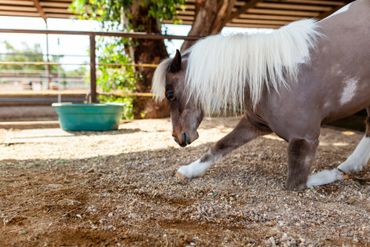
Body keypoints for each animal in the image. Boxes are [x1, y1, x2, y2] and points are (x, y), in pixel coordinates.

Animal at [151, 0, 370, 191]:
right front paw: (188, 171)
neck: (273, 78)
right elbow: (220, 146)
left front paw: (332, 174)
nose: (177, 137)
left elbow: (296, 183)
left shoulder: (305, 140)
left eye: (170, 93)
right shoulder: (253, 124)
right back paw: (350, 166)